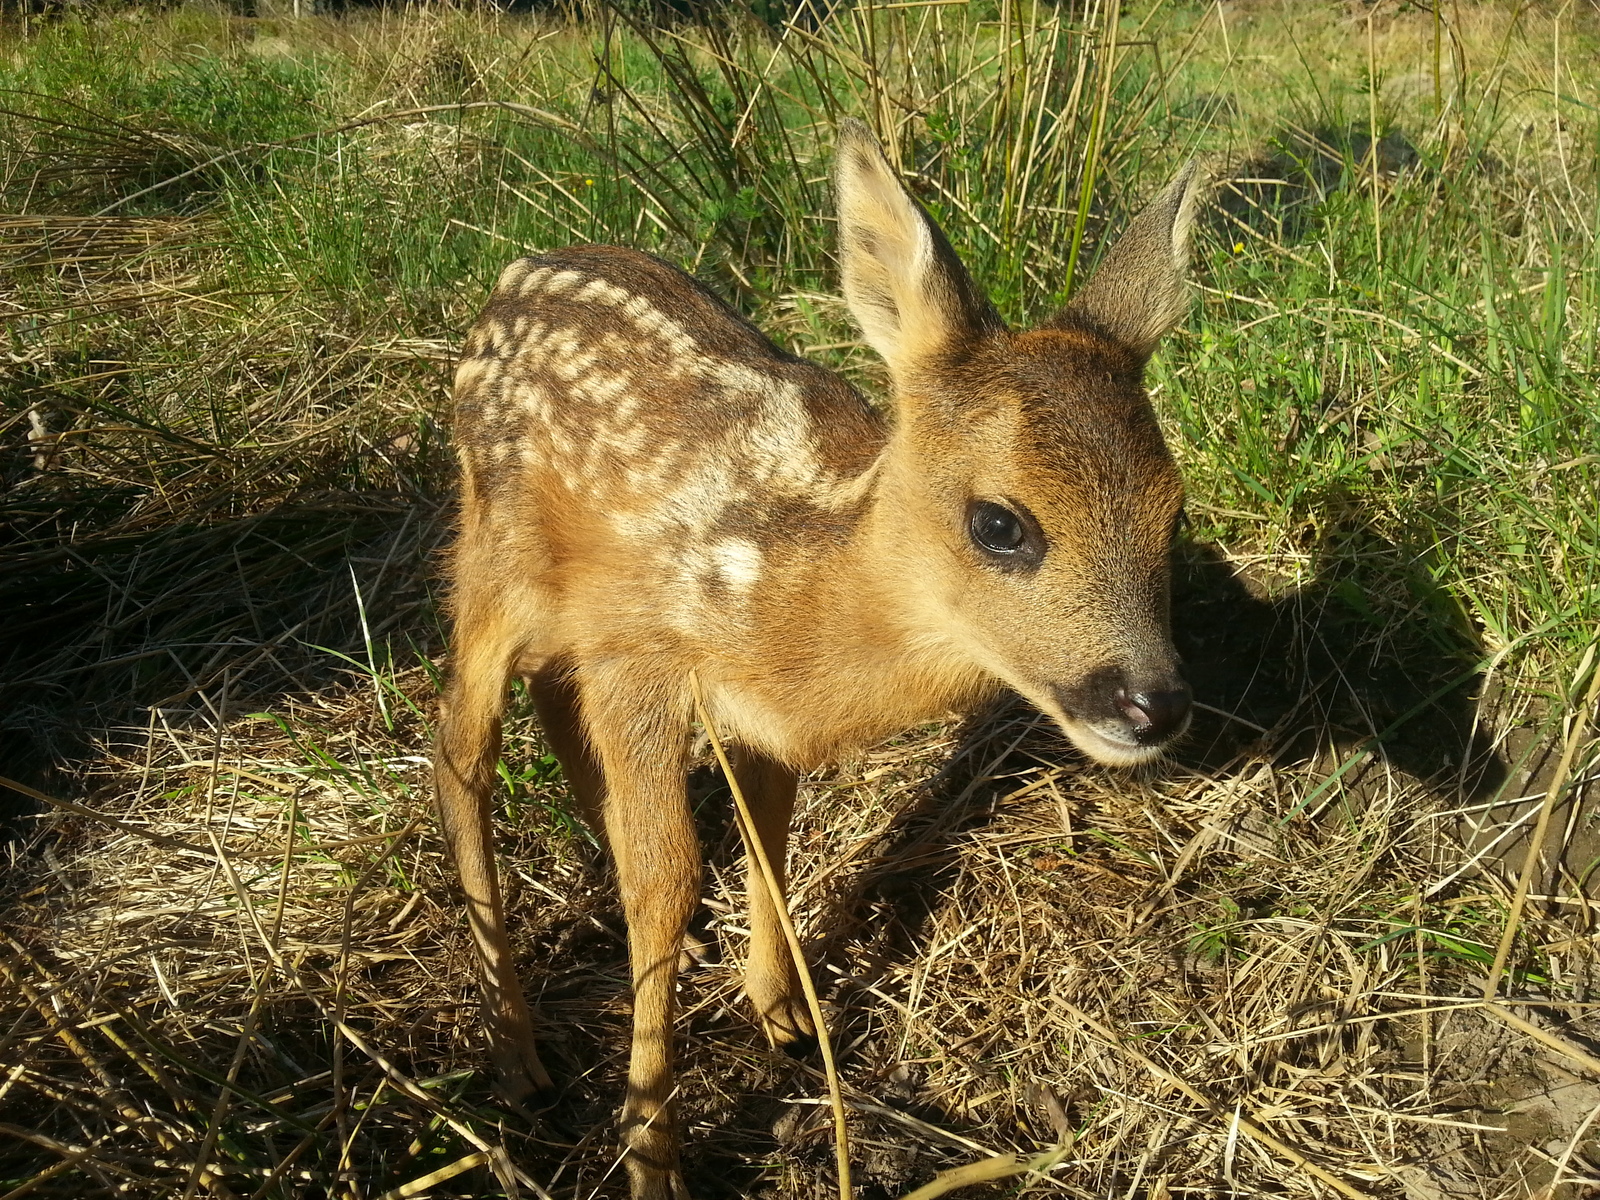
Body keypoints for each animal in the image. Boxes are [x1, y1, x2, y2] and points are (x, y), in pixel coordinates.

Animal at [432, 124, 1203, 1200]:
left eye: (1176, 514)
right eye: (999, 523)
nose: (1151, 704)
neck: (796, 594)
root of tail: (511, 276)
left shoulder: (753, 715)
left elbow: (767, 836)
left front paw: (785, 1017)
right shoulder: (639, 657)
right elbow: (663, 877)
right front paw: (652, 1155)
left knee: (546, 711)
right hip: (490, 552)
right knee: (459, 745)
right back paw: (516, 1057)